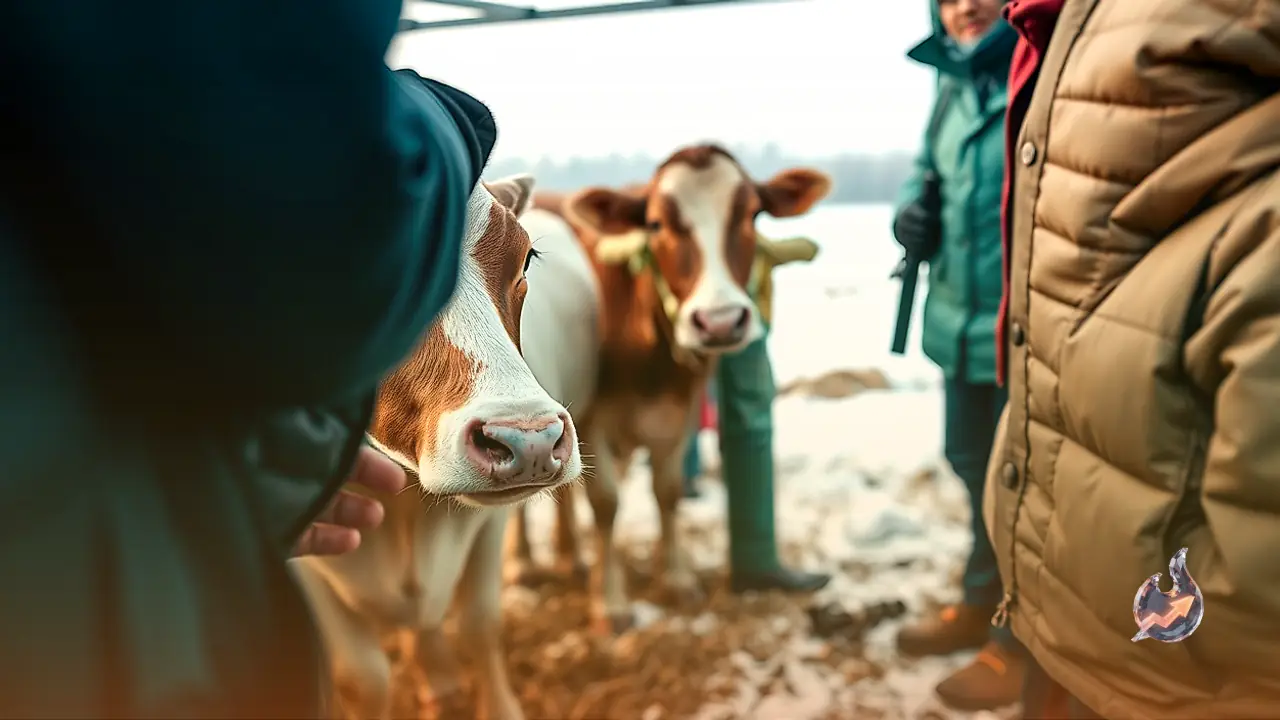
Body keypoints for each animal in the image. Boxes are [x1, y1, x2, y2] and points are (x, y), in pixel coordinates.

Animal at [507, 145, 832, 634]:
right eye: (657, 223)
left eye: (753, 215)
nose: (719, 321)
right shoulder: (591, 420)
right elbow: (606, 504)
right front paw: (611, 603)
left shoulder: (682, 412)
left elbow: (669, 490)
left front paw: (677, 578)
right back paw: (524, 562)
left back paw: (570, 558)